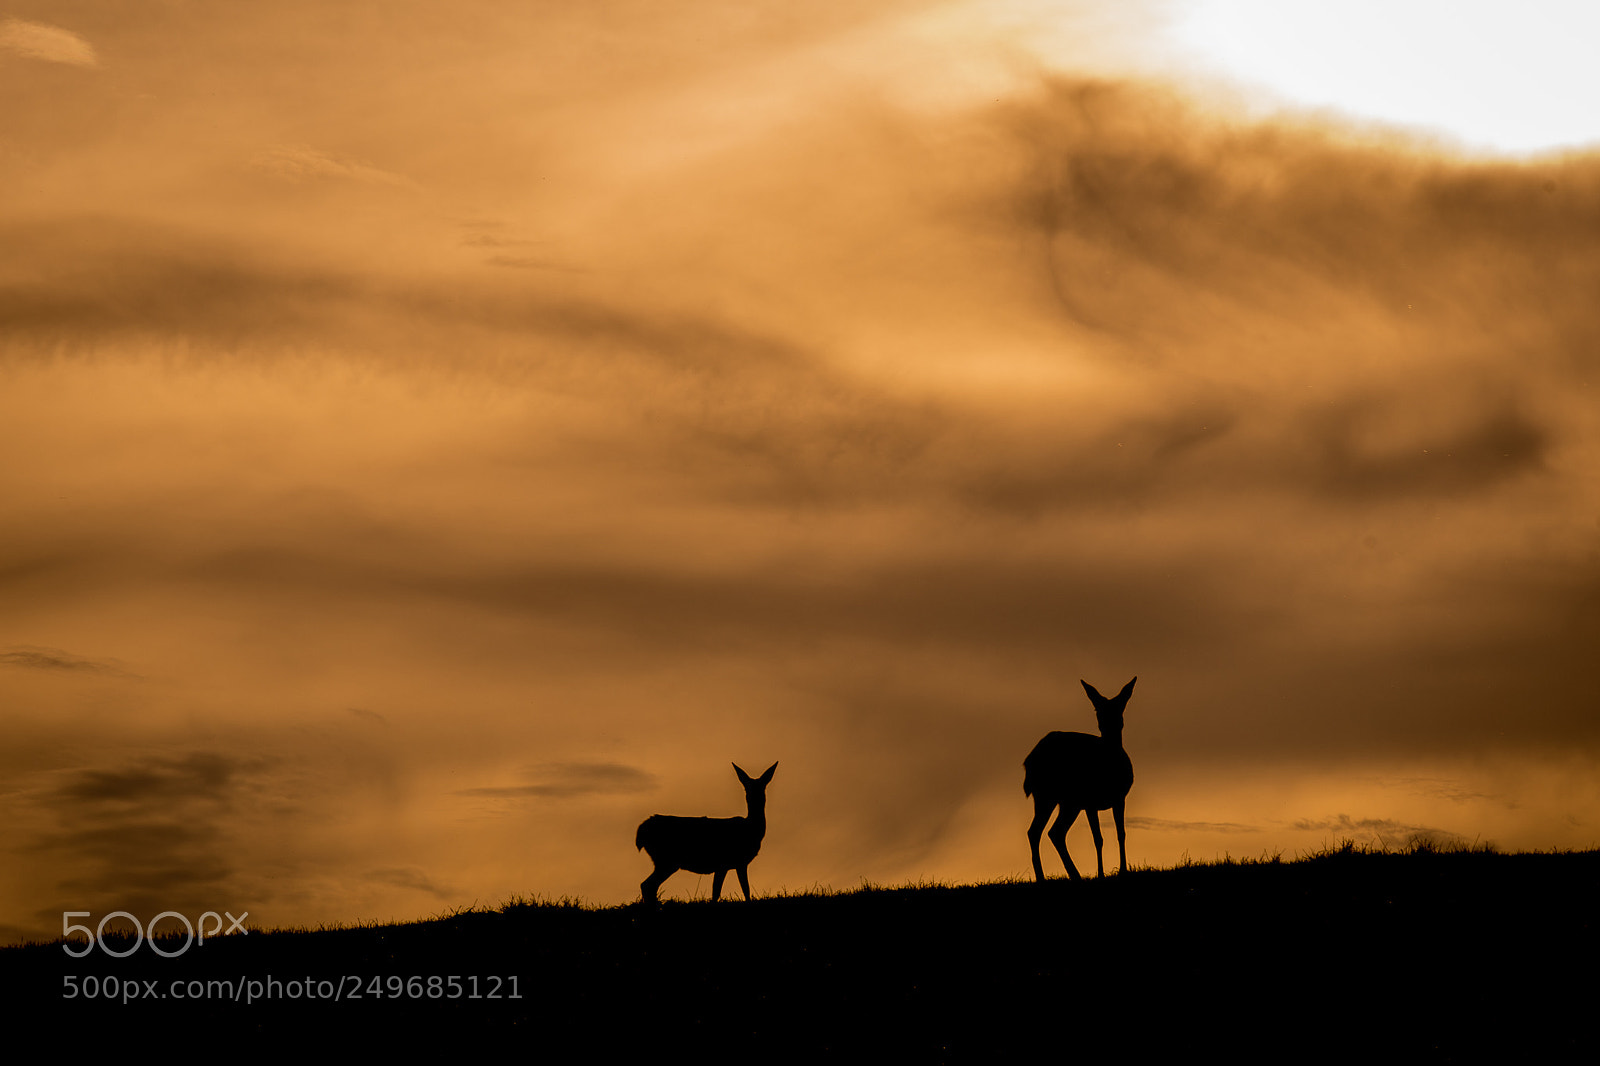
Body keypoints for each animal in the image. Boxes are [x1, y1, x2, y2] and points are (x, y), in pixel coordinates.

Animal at [636, 762, 777, 904]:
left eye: (763, 786)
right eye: (746, 787)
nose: (755, 796)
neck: (751, 829)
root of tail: (641, 830)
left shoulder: (727, 865)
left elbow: (718, 892)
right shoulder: (734, 861)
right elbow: (742, 890)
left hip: (663, 860)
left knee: (648, 885)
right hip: (667, 859)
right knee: (647, 884)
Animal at [1023, 677, 1136, 882]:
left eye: (1120, 707)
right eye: (1097, 710)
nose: (1107, 725)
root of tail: (1028, 762)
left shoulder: (1119, 797)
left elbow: (1121, 833)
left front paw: (1123, 871)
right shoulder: (1090, 801)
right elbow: (1098, 838)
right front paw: (1101, 874)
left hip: (1065, 802)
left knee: (1052, 832)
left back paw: (1072, 875)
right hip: (1048, 795)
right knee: (1039, 831)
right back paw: (1044, 877)